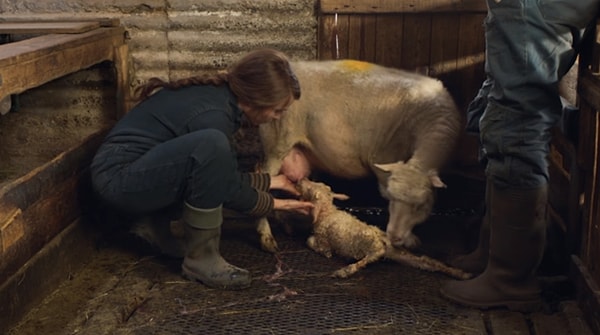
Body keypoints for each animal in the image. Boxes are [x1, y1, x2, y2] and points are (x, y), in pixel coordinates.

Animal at [298, 178, 472, 280]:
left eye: (310, 190)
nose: (301, 180)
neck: (328, 211)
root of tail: (383, 239)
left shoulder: (322, 237)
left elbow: (310, 241)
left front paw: (326, 253)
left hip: (370, 244)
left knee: (372, 256)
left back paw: (345, 271)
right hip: (399, 254)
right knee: (424, 261)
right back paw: (459, 273)